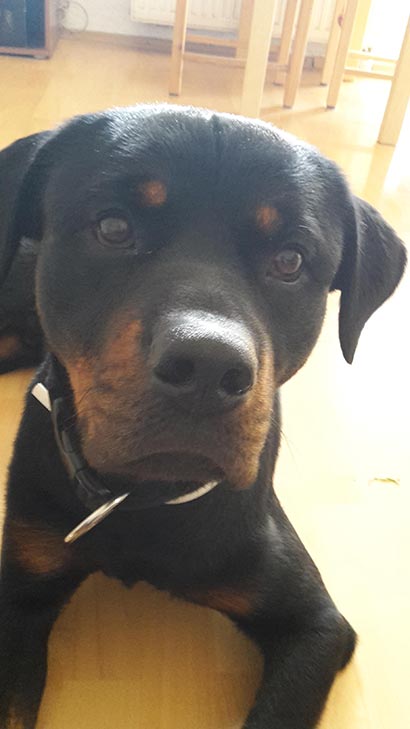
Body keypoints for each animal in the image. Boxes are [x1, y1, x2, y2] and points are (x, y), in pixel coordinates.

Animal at [0, 104, 406, 729]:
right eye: (113, 228)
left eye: (290, 260)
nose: (209, 366)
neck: (145, 495)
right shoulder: (22, 589)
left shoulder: (314, 625)